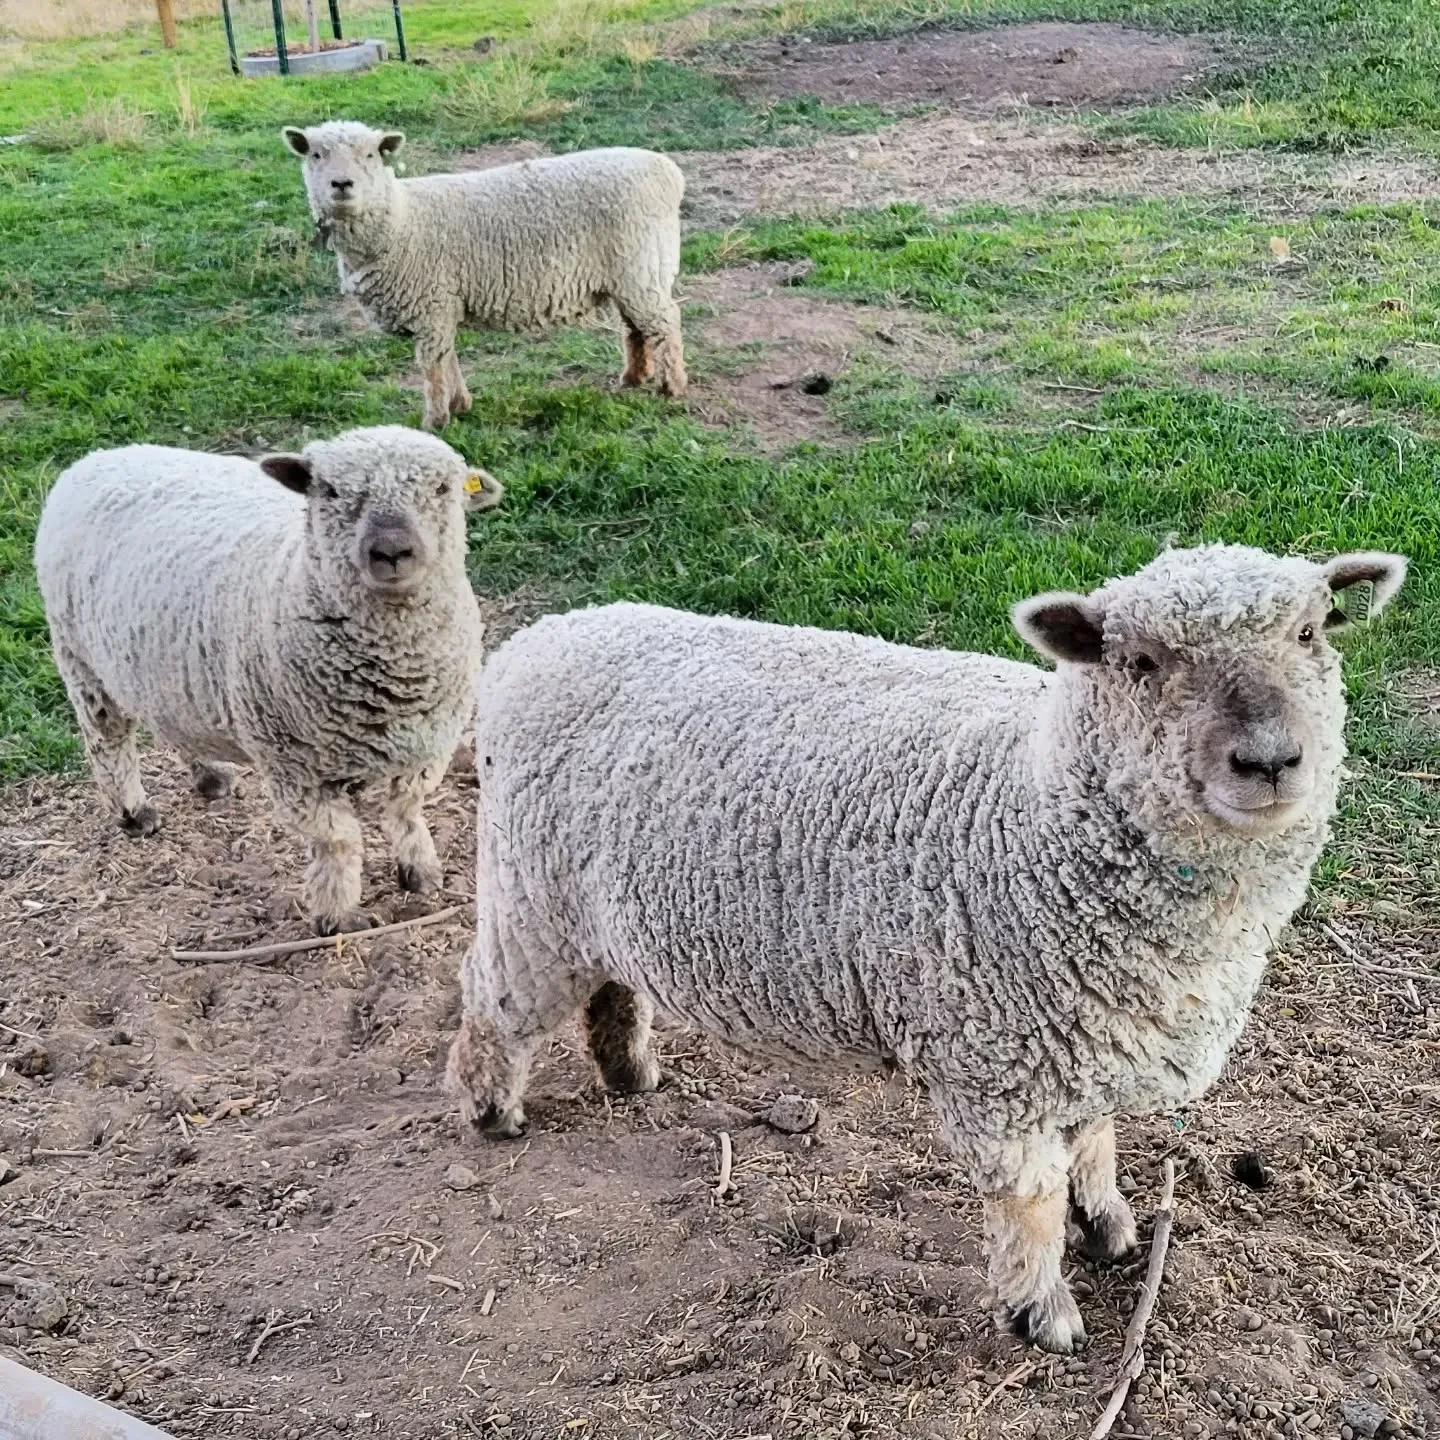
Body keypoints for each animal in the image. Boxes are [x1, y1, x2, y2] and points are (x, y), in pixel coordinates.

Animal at [34, 425, 503, 936]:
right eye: (330, 491)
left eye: (442, 488)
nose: (392, 551)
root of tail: (96, 458)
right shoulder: (295, 766)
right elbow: (337, 840)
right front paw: (337, 915)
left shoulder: (426, 746)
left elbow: (406, 812)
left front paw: (421, 872)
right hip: (79, 657)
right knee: (107, 740)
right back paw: (134, 812)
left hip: (164, 668)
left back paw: (211, 776)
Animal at [281, 121, 687, 430]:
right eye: (315, 155)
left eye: (370, 155)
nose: (341, 184)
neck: (400, 220)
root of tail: (668, 172)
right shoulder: (442, 304)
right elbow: (448, 356)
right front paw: (459, 404)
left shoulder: (430, 303)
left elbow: (432, 367)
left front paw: (435, 421)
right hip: (630, 274)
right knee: (636, 327)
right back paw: (634, 377)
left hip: (642, 267)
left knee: (666, 322)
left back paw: (673, 386)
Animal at [444, 542, 1407, 1352]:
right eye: (1142, 663)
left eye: (1313, 631)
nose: (1269, 760)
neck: (1038, 803)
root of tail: (540, 638)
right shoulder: (1000, 1063)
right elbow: (1028, 1199)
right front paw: (1042, 1309)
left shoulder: (1087, 1029)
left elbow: (1093, 1142)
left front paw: (1108, 1226)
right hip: (529, 899)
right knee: (492, 1003)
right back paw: (493, 1110)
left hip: (592, 912)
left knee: (610, 986)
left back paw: (628, 1071)